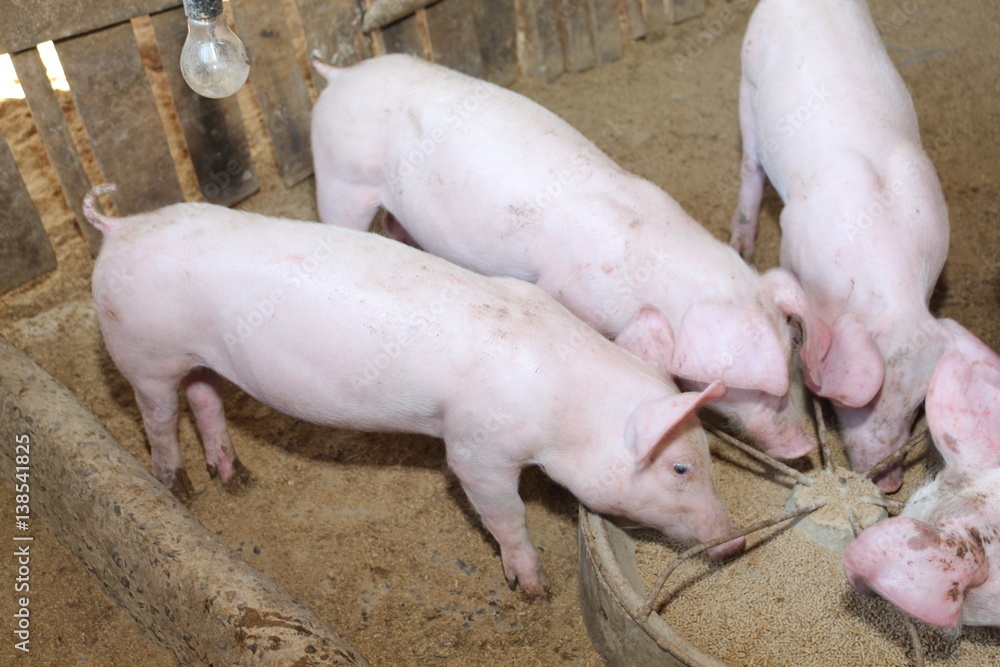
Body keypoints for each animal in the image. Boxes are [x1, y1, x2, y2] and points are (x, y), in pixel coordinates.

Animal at [84, 184, 744, 594]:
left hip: (197, 357)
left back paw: (236, 478)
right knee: (158, 416)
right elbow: (503, 511)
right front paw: (534, 587)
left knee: (205, 397)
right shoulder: (476, 447)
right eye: (681, 468)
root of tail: (118, 227)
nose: (735, 544)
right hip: (142, 351)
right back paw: (177, 487)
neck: (566, 404)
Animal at [308, 53, 830, 462]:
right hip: (340, 178)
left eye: (792, 358)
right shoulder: (565, 288)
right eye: (760, 388)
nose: (803, 446)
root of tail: (340, 74)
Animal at [727, 0, 991, 490]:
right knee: (751, 161)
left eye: (915, 406)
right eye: (862, 402)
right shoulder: (793, 238)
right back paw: (741, 241)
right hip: (748, 72)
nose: (888, 482)